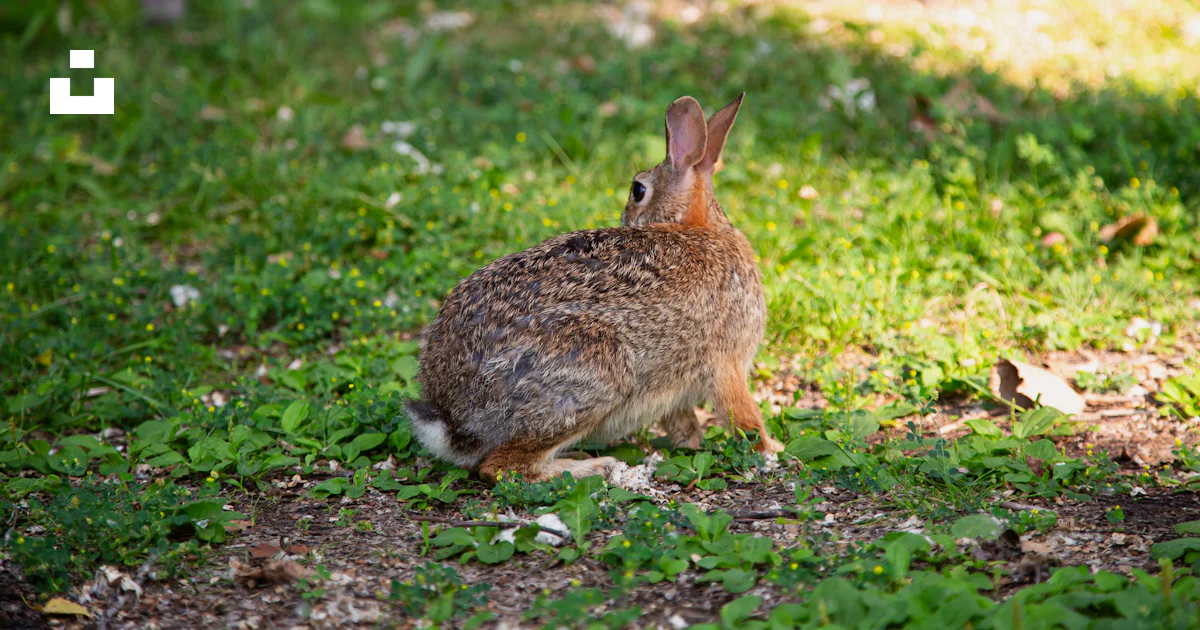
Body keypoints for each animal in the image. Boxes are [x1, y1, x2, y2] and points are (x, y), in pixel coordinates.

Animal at [405, 94, 784, 482]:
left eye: (637, 190)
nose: (625, 217)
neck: (696, 227)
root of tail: (453, 417)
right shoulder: (727, 363)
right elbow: (744, 417)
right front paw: (773, 449)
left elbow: (685, 421)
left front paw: (694, 443)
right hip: (595, 374)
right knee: (505, 467)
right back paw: (593, 466)